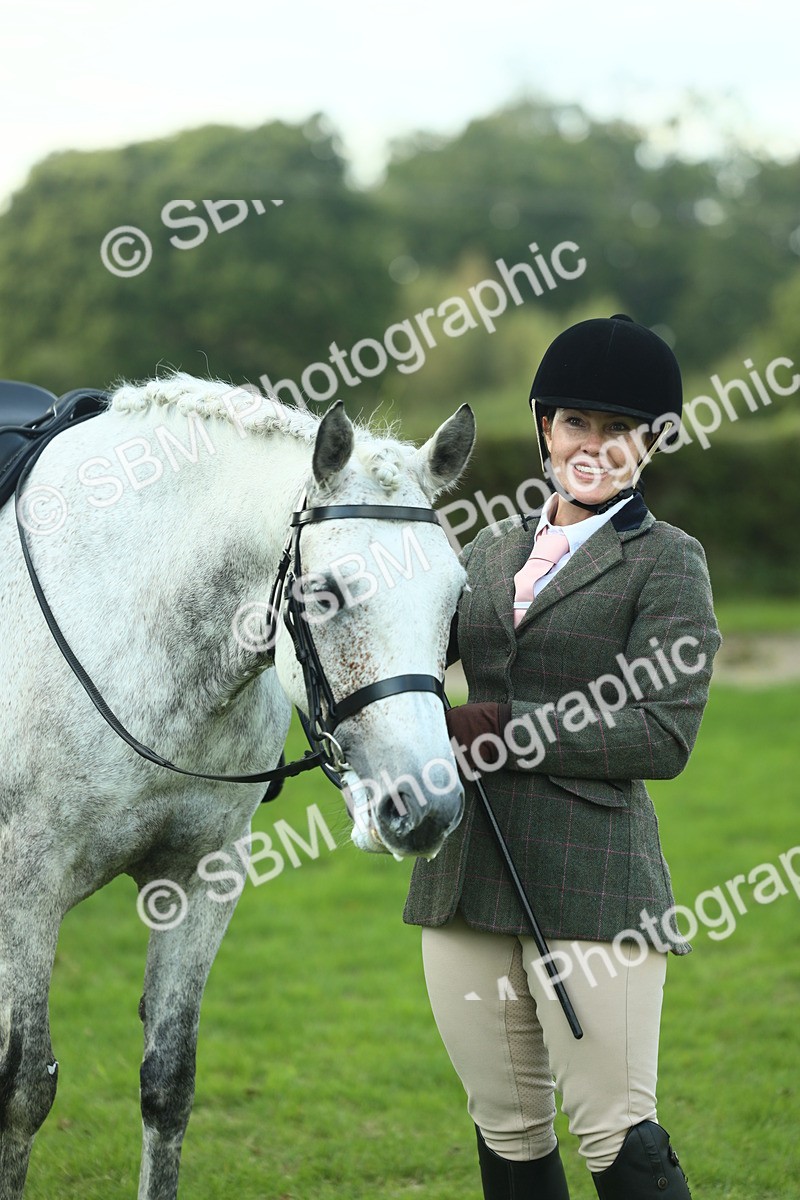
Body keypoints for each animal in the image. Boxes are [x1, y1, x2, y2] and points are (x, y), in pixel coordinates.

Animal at [0, 373, 475, 1199]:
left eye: (454, 595)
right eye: (325, 595)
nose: (427, 809)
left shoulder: (200, 880)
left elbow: (168, 1081)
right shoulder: (28, 889)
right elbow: (25, 1092)